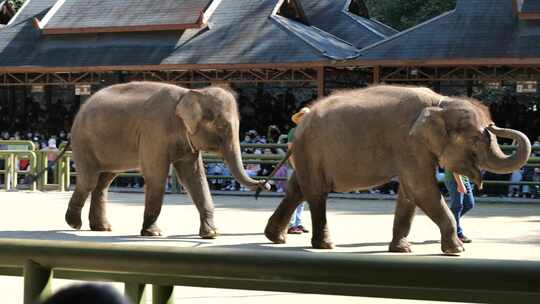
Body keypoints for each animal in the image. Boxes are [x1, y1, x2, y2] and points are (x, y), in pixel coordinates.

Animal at [64, 82, 266, 239]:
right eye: (222, 126)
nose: (265, 183)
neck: (190, 93)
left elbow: (194, 178)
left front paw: (212, 234)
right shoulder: (154, 131)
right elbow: (156, 176)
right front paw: (154, 233)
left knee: (104, 181)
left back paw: (102, 228)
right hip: (82, 140)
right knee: (89, 180)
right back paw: (74, 224)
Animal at [266, 85, 532, 254]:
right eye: (476, 139)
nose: (494, 125)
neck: (440, 102)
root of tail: (300, 122)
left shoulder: (412, 149)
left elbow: (409, 194)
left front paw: (402, 250)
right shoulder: (409, 144)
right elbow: (422, 190)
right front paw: (457, 250)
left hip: (306, 154)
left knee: (297, 189)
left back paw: (275, 238)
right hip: (311, 150)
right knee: (316, 192)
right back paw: (324, 245)